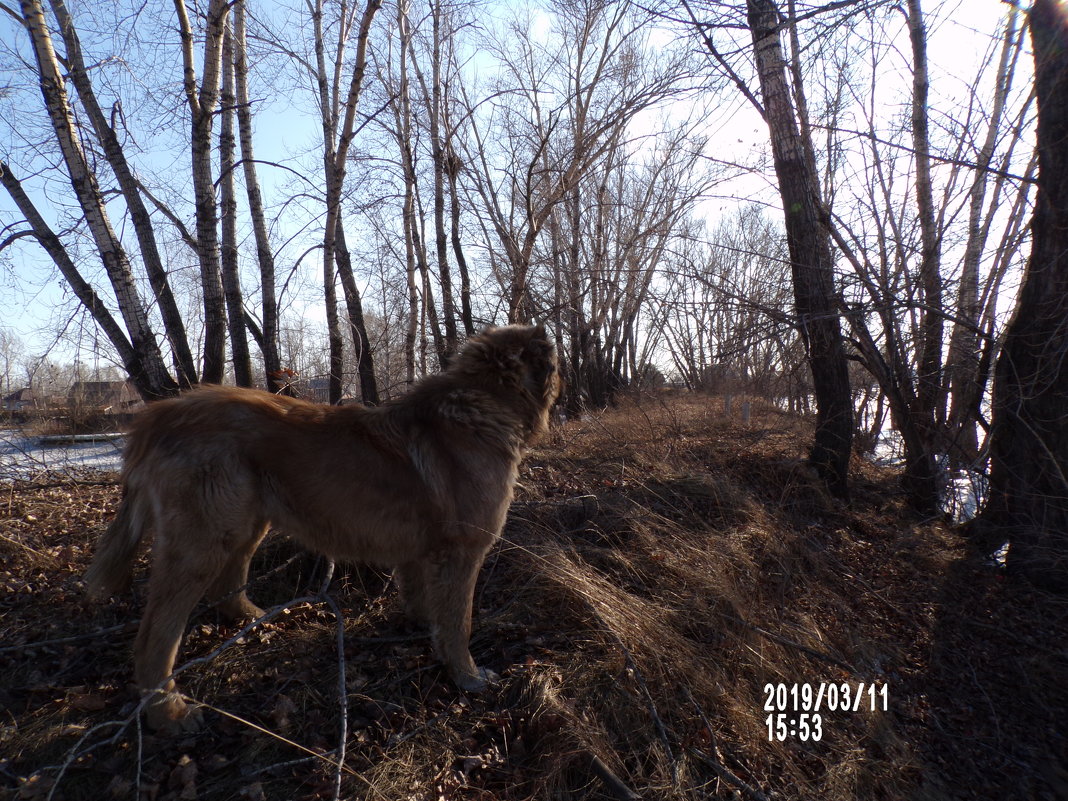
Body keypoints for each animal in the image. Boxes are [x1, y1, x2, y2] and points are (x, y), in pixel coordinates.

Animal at [85, 324, 559, 734]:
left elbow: (427, 603)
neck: (484, 404)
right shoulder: (462, 550)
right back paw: (169, 713)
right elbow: (460, 621)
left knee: (228, 585)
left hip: (248, 521)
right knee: (155, 637)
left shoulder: (420, 552)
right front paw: (469, 676)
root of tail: (159, 415)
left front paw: (427, 632)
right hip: (203, 541)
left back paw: (256, 618)